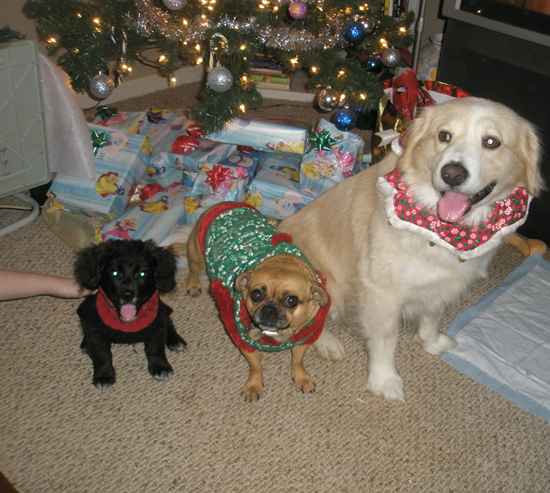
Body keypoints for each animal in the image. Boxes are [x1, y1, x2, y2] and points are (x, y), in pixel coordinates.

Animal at [74, 239, 187, 388]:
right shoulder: (95, 329)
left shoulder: (156, 325)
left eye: (142, 274)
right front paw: (104, 376)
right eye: (115, 273)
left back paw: (176, 340)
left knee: (168, 319)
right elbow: (102, 354)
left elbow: (155, 349)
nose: (127, 295)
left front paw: (160, 367)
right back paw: (85, 344)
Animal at [170, 203, 330, 400]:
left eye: (291, 300)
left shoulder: (304, 340)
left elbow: (297, 361)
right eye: (256, 294)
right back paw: (193, 285)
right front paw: (254, 385)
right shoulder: (244, 342)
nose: (269, 309)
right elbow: (255, 366)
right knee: (193, 269)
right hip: (196, 254)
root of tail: (223, 204)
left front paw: (301, 377)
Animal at [282, 96, 544, 400]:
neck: (440, 228)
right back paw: (327, 343)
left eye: (491, 142)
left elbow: (432, 316)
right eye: (444, 136)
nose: (452, 173)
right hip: (325, 286)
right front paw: (384, 379)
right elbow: (386, 340)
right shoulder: (382, 292)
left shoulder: (441, 284)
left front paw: (430, 342)